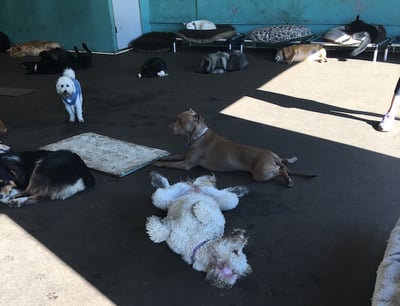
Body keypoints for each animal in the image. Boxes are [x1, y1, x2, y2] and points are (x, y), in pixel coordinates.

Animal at [153, 109, 316, 188]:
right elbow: (173, 156)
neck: (198, 135)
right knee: (283, 161)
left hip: (261, 174)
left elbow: (169, 164)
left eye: (181, 121)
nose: (169, 126)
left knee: (281, 170)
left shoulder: (186, 164)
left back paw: (288, 180)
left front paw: (159, 163)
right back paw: (291, 159)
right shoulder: (185, 156)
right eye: (177, 119)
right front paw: (163, 157)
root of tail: (270, 156)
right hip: (273, 158)